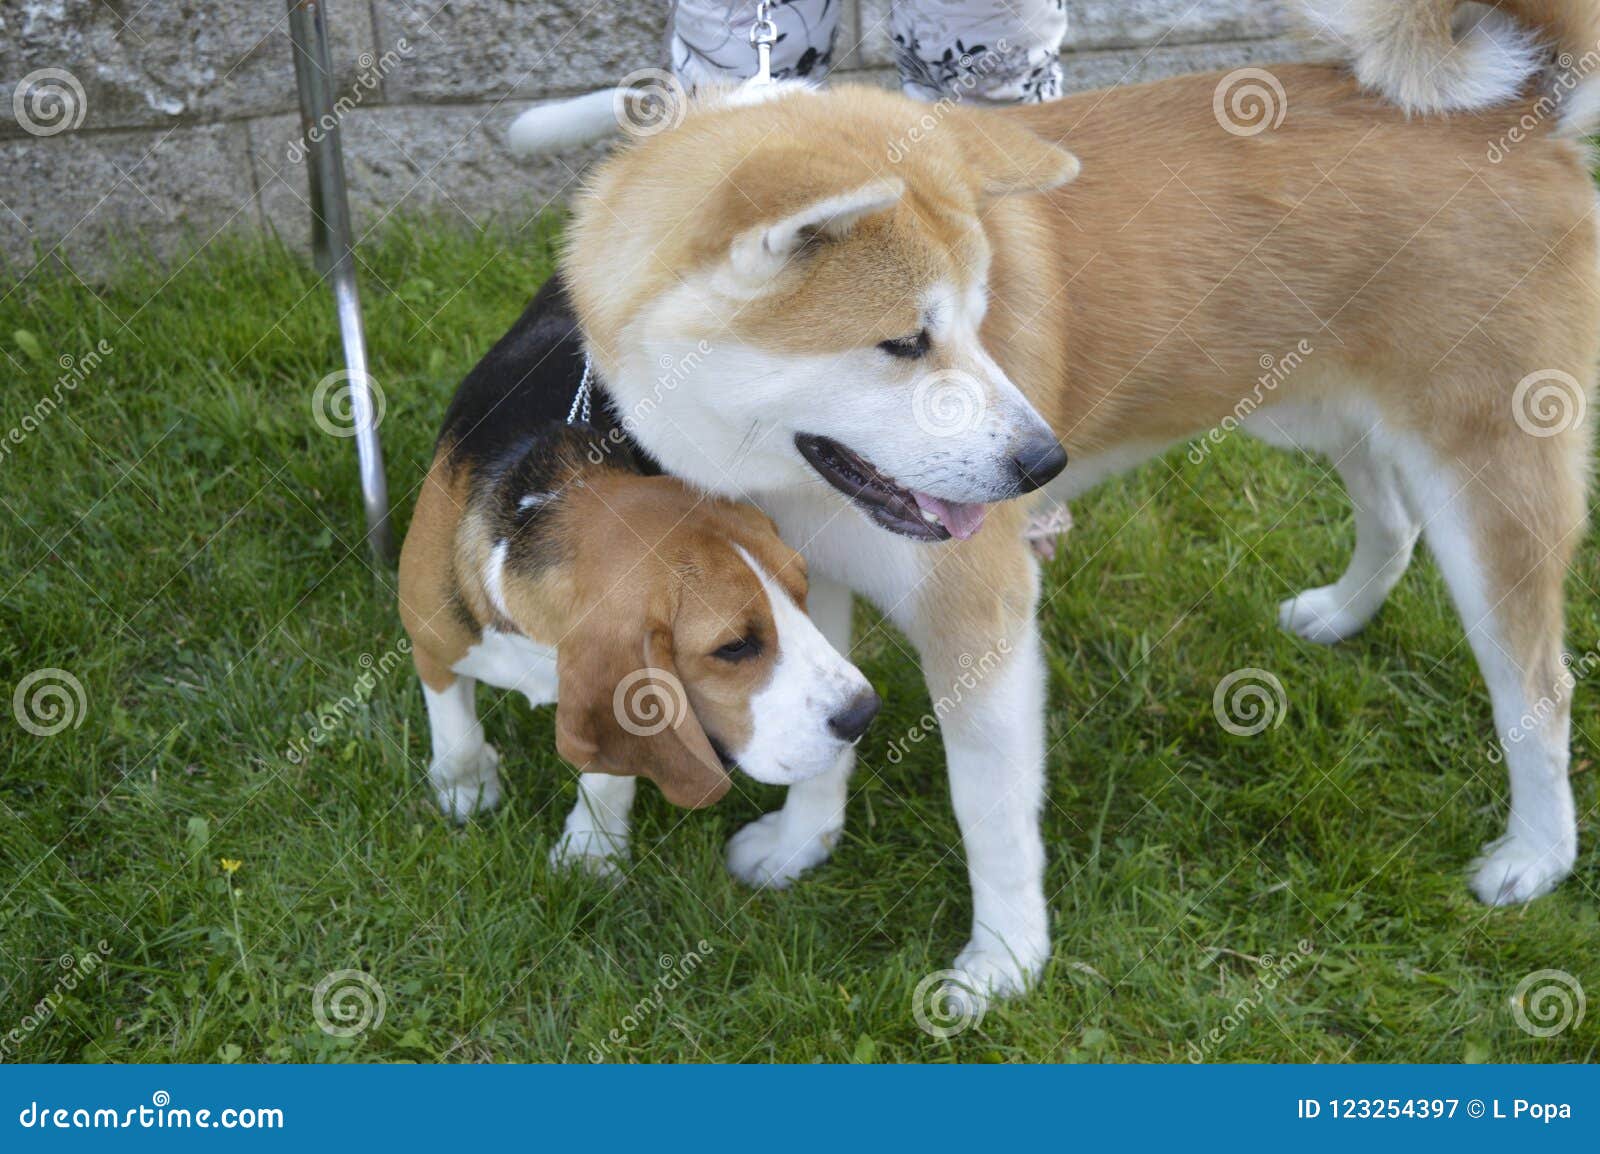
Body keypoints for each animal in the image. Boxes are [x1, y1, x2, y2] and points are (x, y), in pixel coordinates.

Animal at [396, 278, 876, 870]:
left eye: (801, 592)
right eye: (734, 647)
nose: (864, 715)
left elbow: (607, 777)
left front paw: (591, 850)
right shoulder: (429, 636)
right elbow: (454, 727)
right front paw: (465, 788)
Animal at [512, 0, 1600, 992]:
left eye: (980, 319)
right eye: (905, 341)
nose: (1043, 463)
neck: (782, 471)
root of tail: (1521, 110)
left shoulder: (980, 614)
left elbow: (988, 813)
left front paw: (1001, 964)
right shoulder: (804, 586)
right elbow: (818, 735)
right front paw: (799, 845)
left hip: (1487, 478)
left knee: (1539, 688)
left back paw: (1535, 857)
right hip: (1313, 406)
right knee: (1391, 515)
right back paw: (1343, 611)